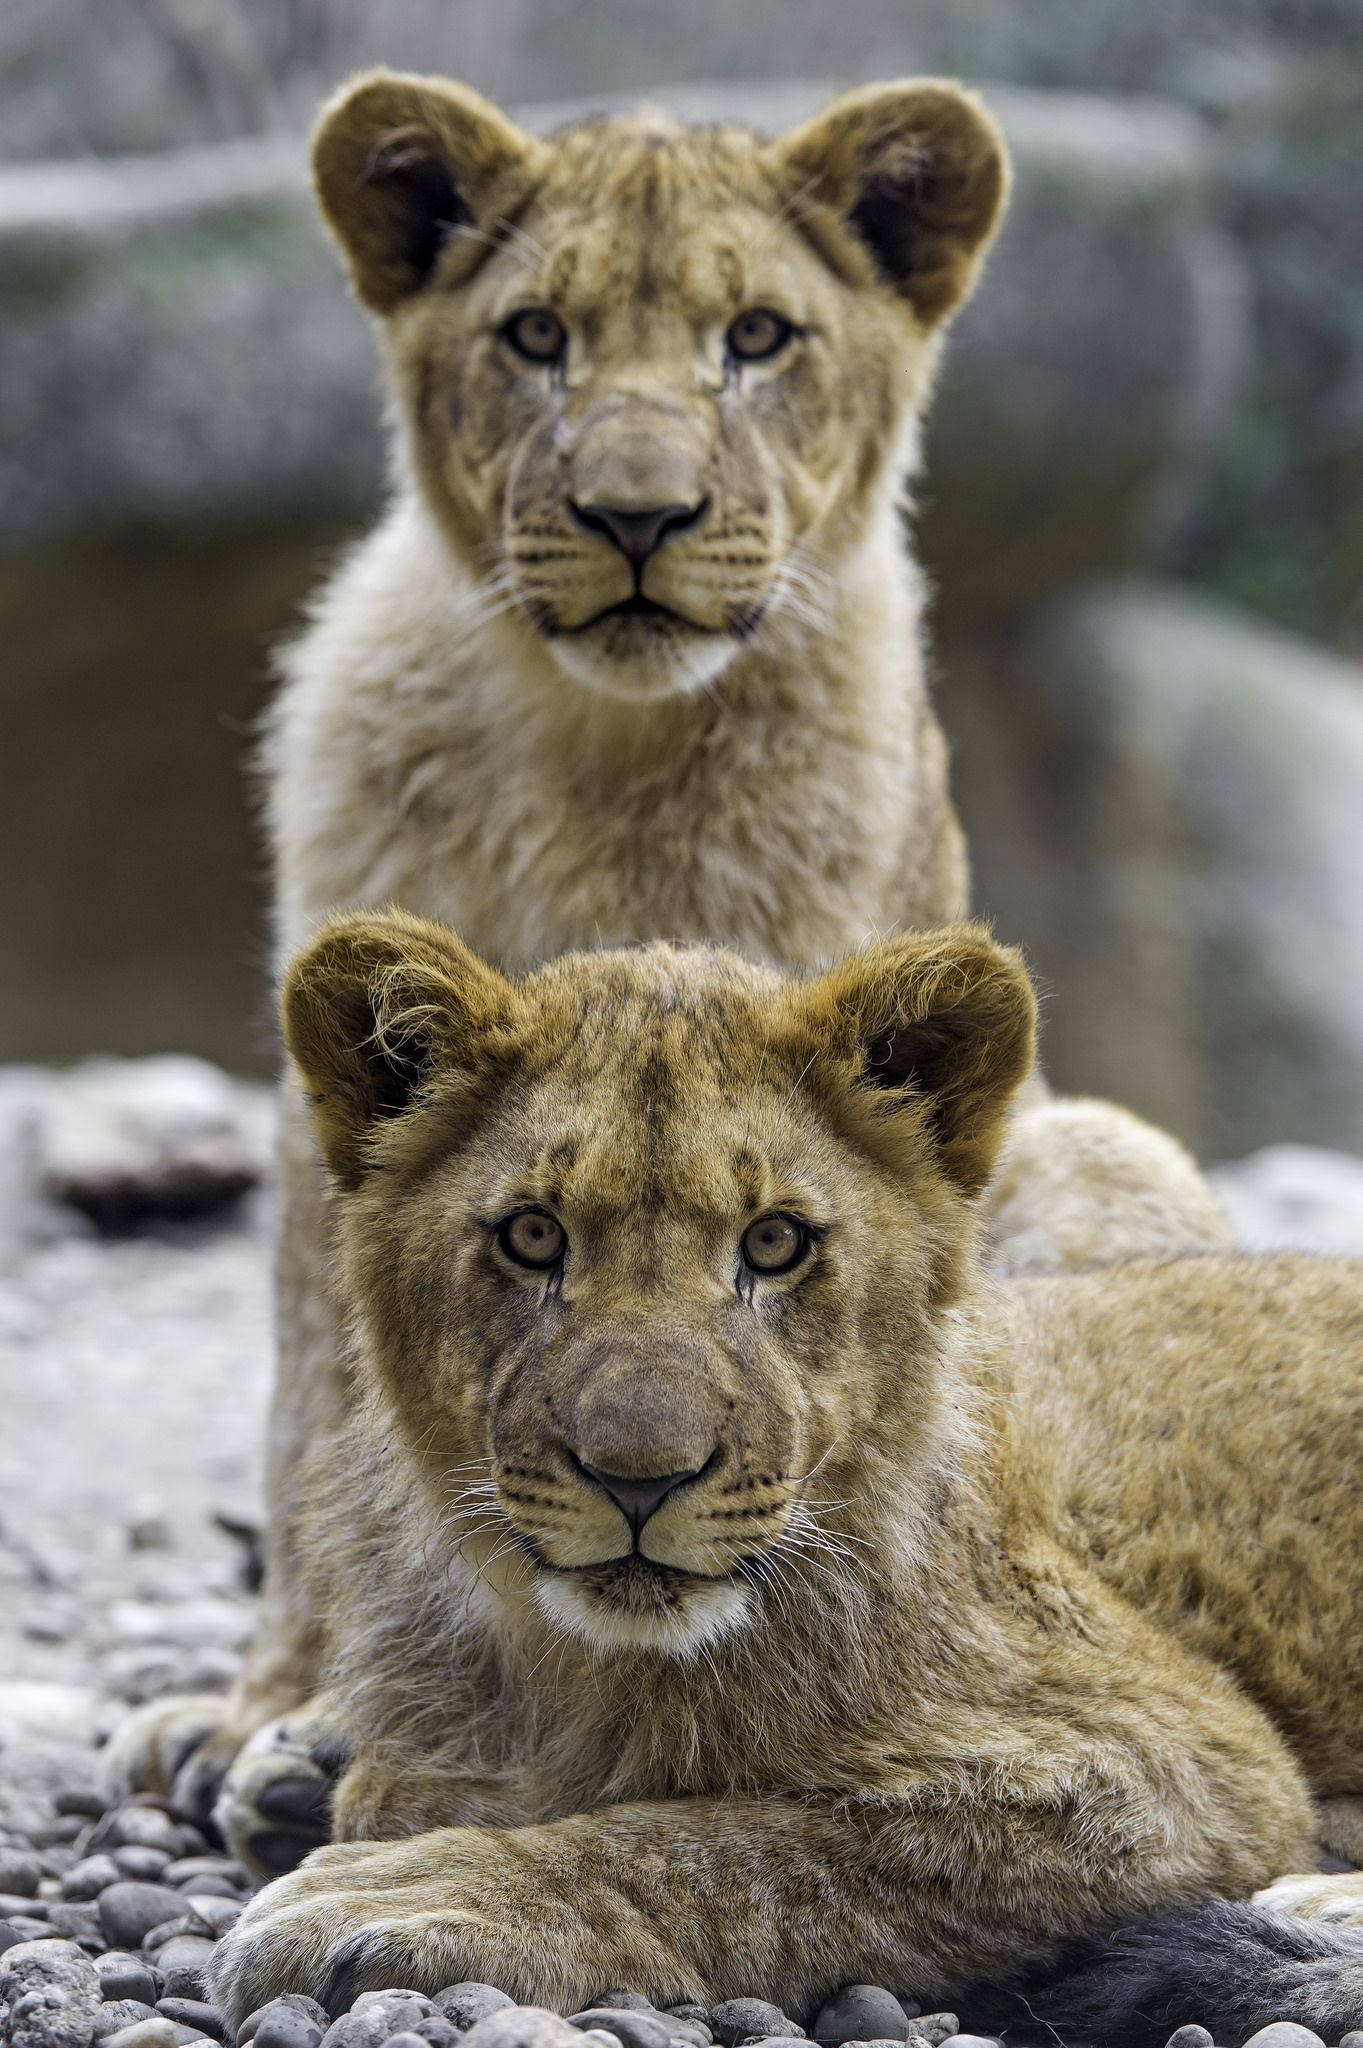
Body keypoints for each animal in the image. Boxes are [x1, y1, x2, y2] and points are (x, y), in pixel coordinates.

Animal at [107, 71, 1229, 1859]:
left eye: (755, 337)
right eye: (537, 337)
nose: (636, 518)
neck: (594, 748)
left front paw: (335, 1729)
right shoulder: (326, 1109)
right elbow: (318, 1413)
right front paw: (271, 1709)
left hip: (1100, 1147)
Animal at [204, 910, 1363, 2048]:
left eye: (773, 1242)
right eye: (533, 1235)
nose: (639, 1479)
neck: (573, 1665)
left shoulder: (1180, 1767)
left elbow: (740, 1845)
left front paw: (407, 1893)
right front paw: (339, 1776)